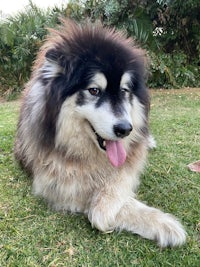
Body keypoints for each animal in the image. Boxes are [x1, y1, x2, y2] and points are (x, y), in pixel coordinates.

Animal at [14, 19, 186, 249]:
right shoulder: (57, 186)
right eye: (94, 90)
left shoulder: (130, 160)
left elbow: (120, 179)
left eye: (124, 90)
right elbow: (99, 211)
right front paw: (164, 224)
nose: (125, 130)